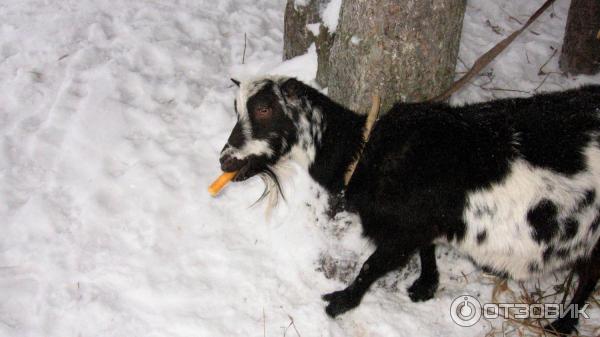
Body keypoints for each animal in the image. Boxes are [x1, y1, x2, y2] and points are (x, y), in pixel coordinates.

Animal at [219, 76, 600, 334]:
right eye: (236, 108)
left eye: (265, 108)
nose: (225, 160)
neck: (366, 151)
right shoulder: (421, 224)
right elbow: (426, 248)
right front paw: (425, 286)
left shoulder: (401, 231)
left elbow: (371, 265)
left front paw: (339, 302)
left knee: (590, 275)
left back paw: (562, 324)